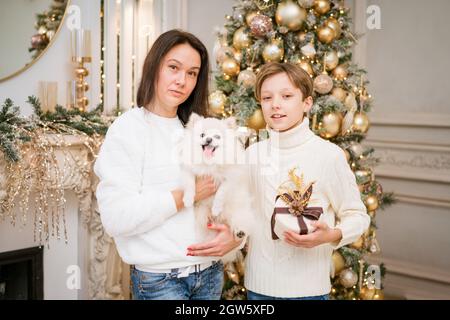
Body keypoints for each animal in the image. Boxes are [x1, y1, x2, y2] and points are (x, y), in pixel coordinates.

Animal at [178, 112, 255, 262]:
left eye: (217, 137)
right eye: (202, 135)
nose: (208, 140)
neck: (209, 162)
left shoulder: (229, 178)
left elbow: (221, 192)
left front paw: (216, 208)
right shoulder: (189, 169)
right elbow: (190, 183)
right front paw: (188, 199)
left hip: (237, 210)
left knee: (240, 220)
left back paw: (240, 231)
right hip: (202, 215)